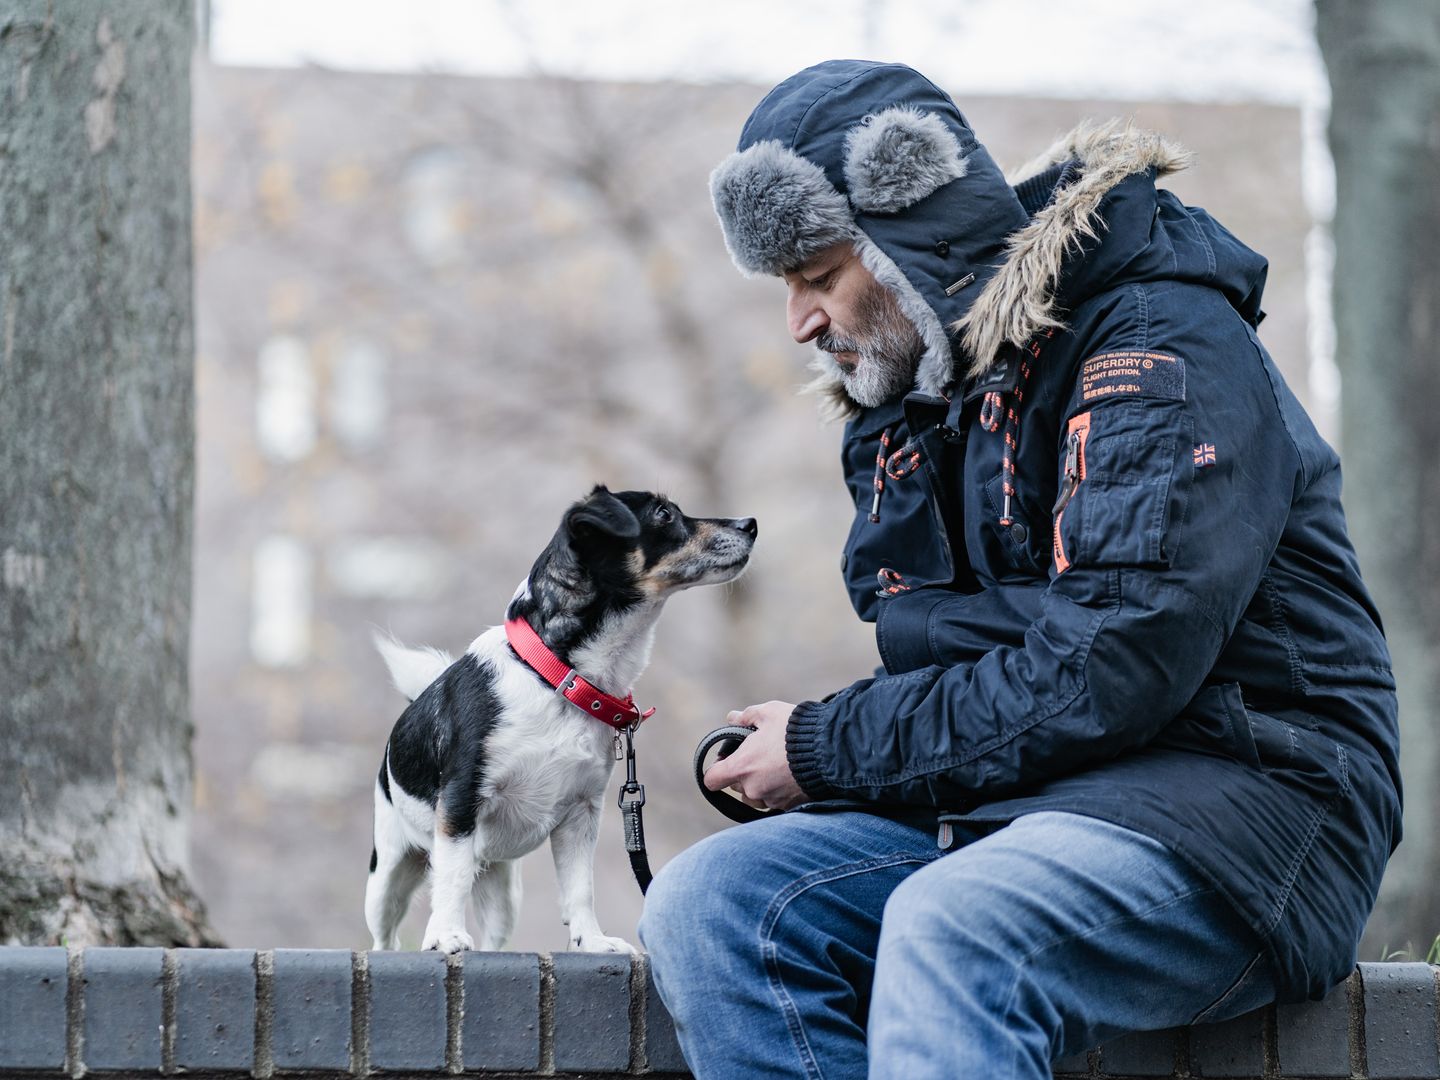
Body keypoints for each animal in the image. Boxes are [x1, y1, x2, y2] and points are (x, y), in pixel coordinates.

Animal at [365, 489, 760, 956]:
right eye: (664, 514)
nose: (751, 524)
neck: (554, 676)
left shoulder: (580, 815)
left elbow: (578, 889)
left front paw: (592, 941)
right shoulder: (460, 804)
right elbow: (453, 877)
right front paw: (445, 935)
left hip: (503, 889)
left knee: (495, 937)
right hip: (388, 876)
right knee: (385, 936)